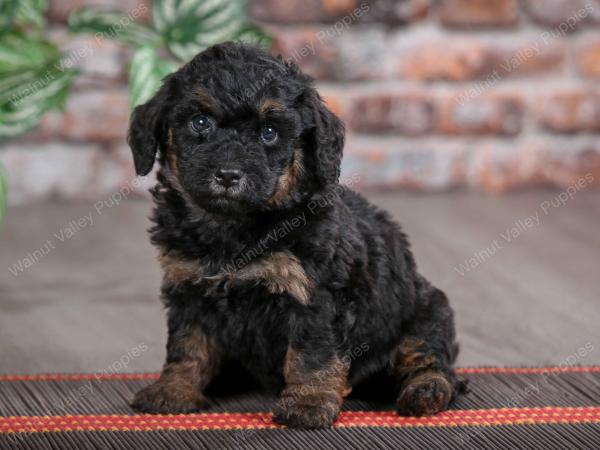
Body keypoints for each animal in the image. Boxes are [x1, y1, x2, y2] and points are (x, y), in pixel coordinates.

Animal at [127, 42, 464, 428]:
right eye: (200, 123)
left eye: (270, 132)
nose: (228, 175)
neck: (235, 227)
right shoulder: (188, 286)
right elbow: (187, 344)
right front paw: (174, 389)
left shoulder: (315, 295)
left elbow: (312, 353)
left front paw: (308, 403)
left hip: (426, 314)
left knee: (429, 361)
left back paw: (425, 391)